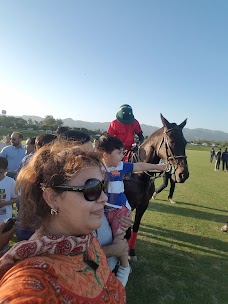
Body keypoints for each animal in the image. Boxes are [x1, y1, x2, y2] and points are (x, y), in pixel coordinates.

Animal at [124, 114, 189, 262]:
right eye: (171, 142)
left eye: (185, 142)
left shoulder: (143, 205)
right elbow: (126, 229)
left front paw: (131, 252)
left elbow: (135, 226)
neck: (140, 174)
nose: (183, 174)